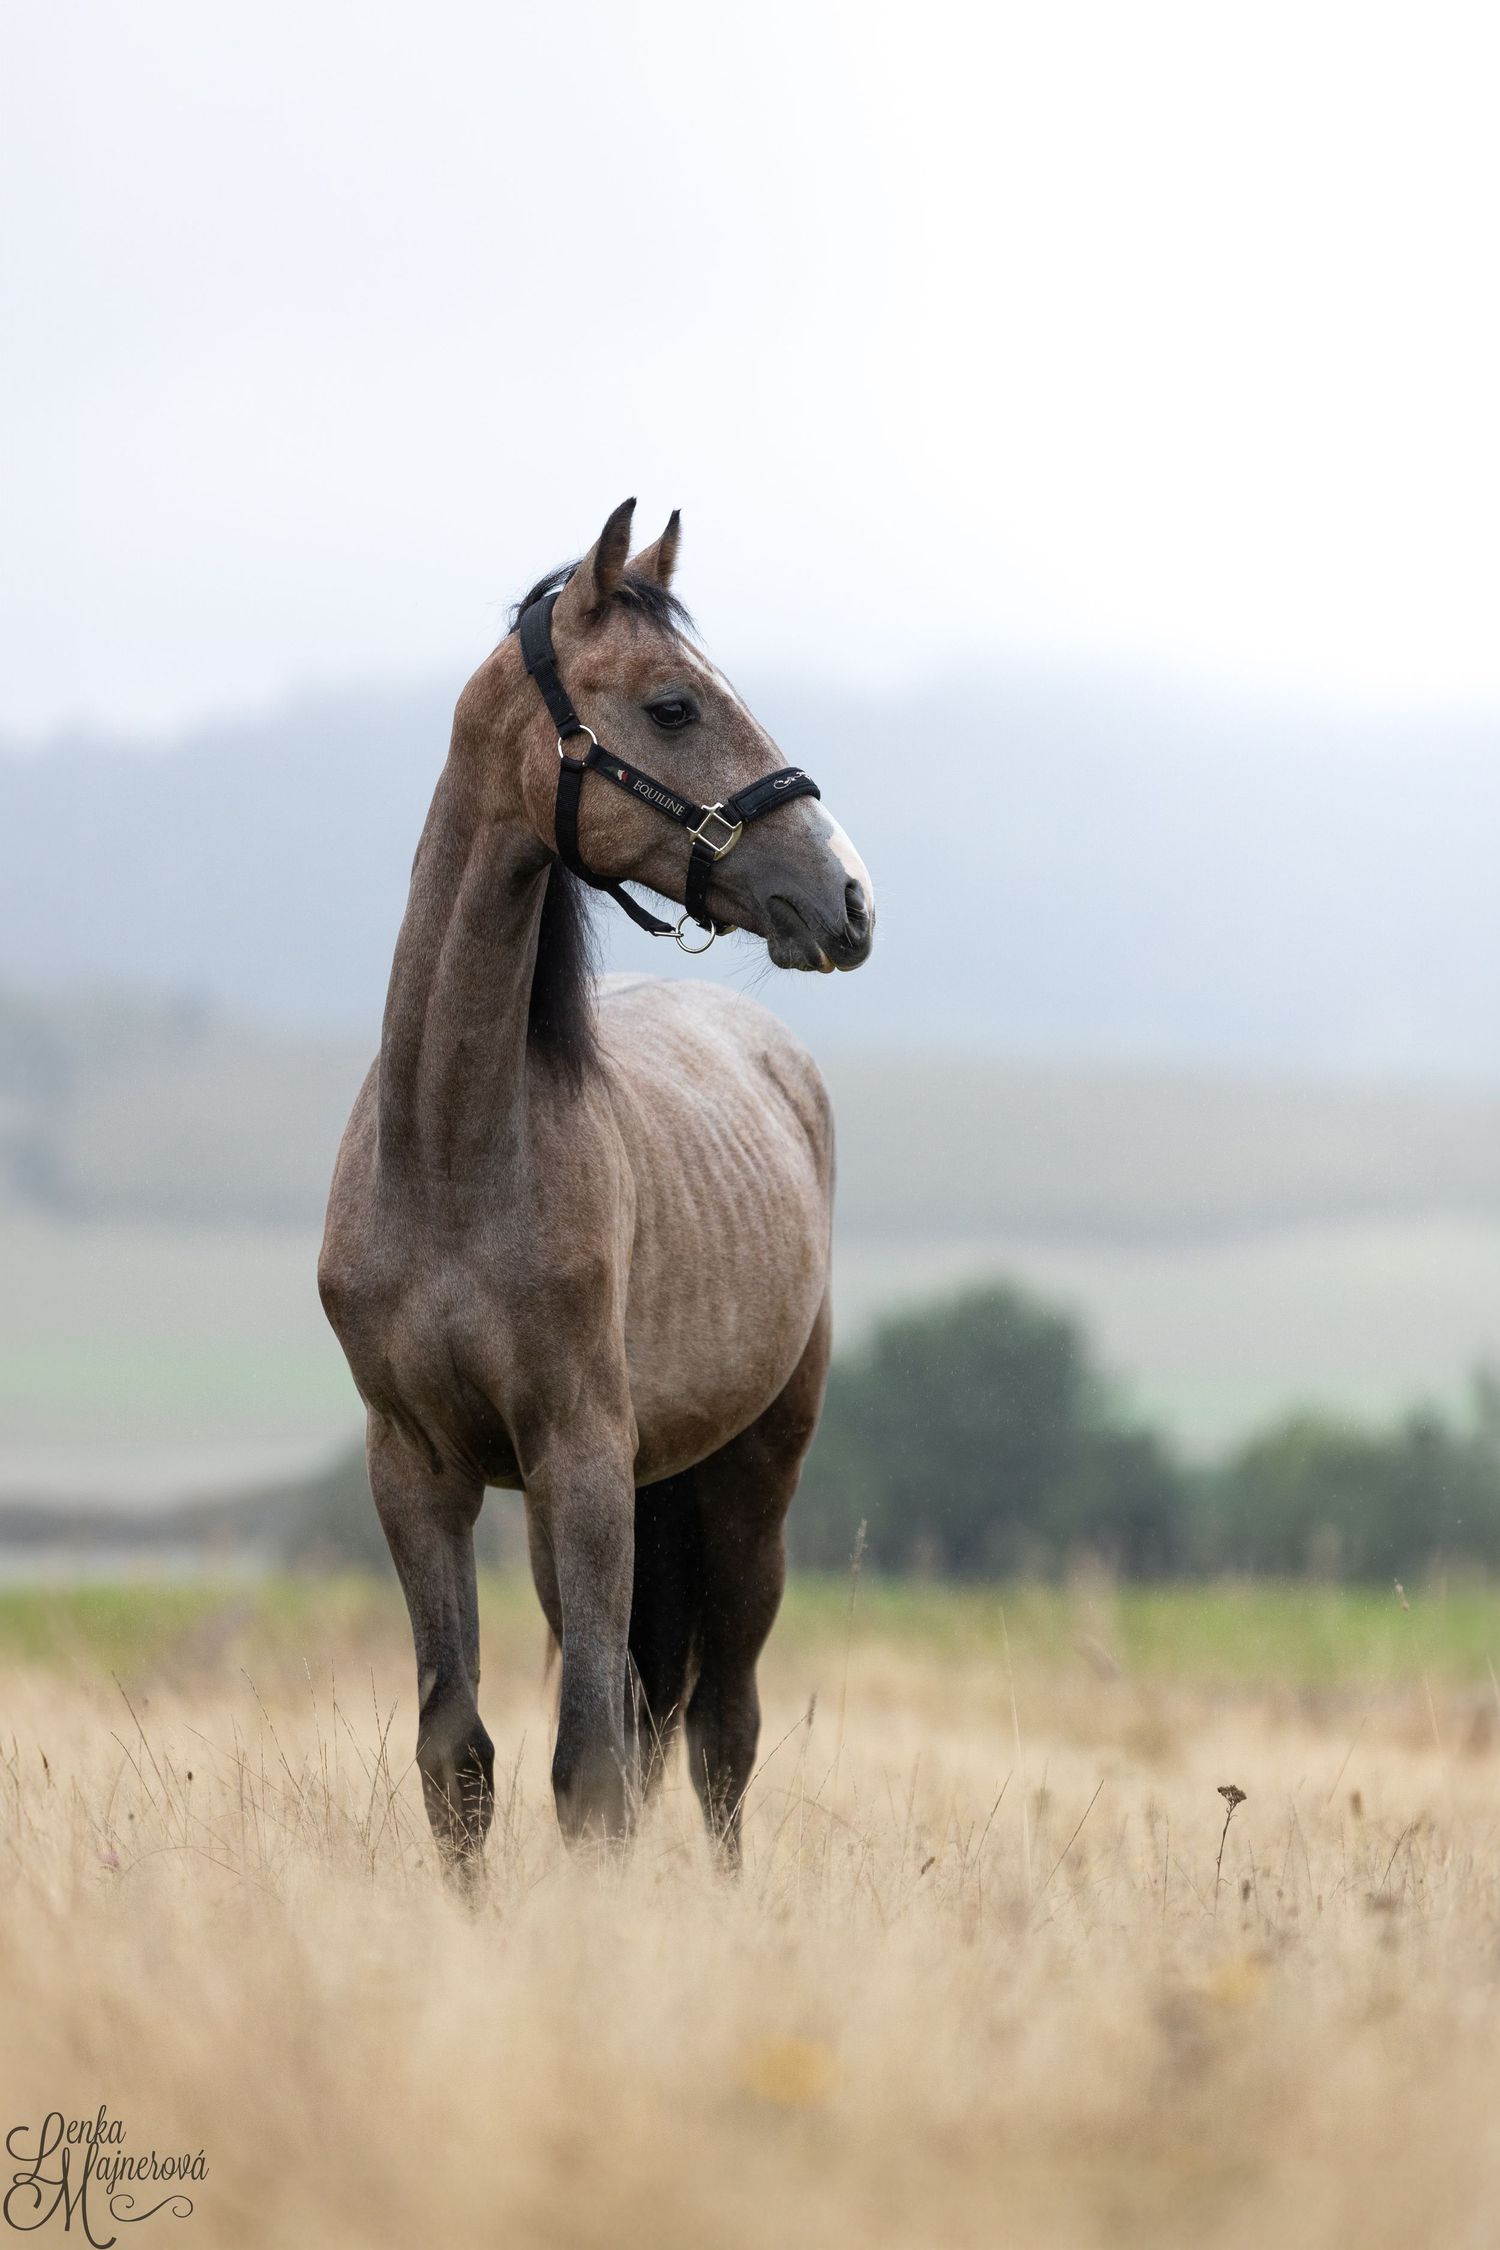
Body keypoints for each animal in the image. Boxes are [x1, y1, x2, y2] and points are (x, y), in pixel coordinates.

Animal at [318, 499, 874, 1865]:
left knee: (724, 1734)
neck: (454, 1157)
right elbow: (459, 1757)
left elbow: (595, 1773)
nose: (849, 897)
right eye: (673, 706)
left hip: (750, 1481)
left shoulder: (582, 1459)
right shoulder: (419, 1470)